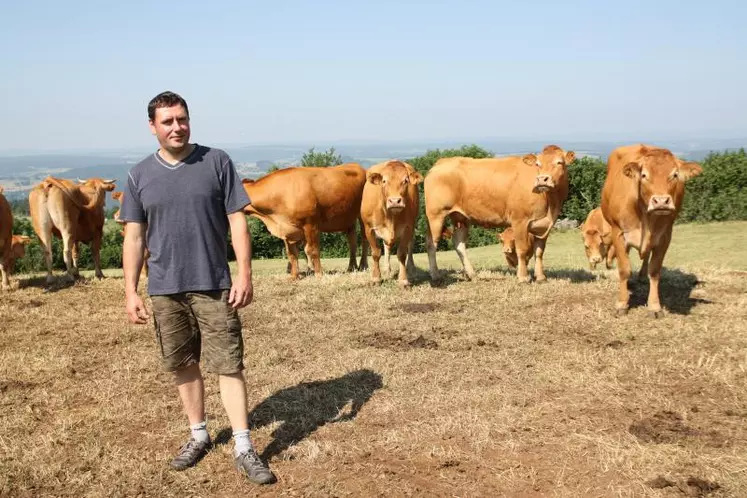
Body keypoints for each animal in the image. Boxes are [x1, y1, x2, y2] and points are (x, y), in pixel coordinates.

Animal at [424, 146, 576, 282]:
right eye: (538, 164)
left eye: (559, 162)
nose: (542, 179)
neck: (551, 203)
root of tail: (442, 162)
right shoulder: (519, 221)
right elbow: (522, 249)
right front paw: (523, 277)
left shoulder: (543, 225)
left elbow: (539, 252)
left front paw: (541, 277)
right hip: (436, 215)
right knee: (431, 243)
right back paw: (435, 275)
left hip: (461, 218)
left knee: (459, 244)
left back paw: (472, 275)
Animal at [600, 144, 700, 318]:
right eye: (644, 175)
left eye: (674, 174)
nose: (661, 201)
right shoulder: (618, 232)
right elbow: (624, 269)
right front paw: (622, 303)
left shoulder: (665, 236)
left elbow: (654, 271)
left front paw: (654, 306)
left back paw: (641, 275)